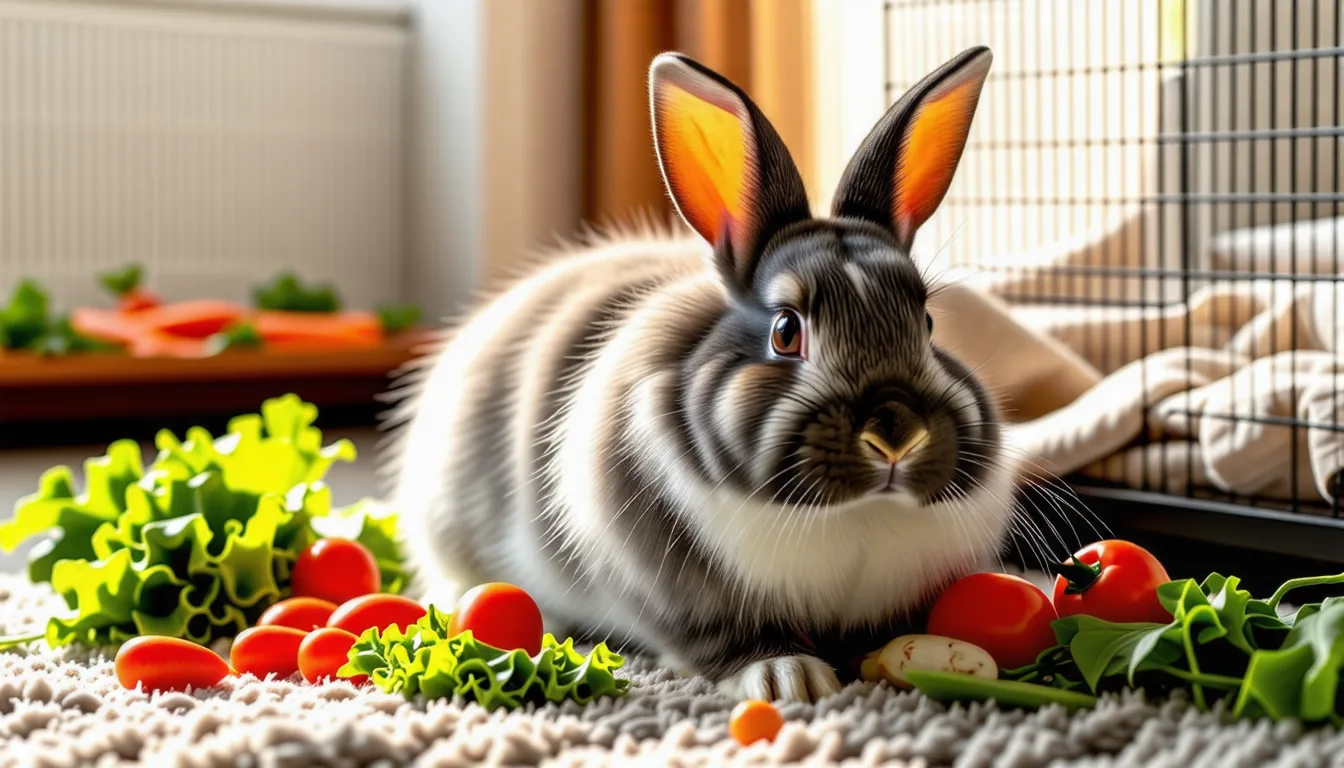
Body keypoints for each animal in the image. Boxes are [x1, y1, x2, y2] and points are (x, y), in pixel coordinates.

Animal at [382, 45, 1017, 703]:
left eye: (927, 323)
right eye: (786, 331)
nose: (895, 435)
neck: (855, 514)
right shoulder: (679, 593)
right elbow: (727, 639)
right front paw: (789, 678)